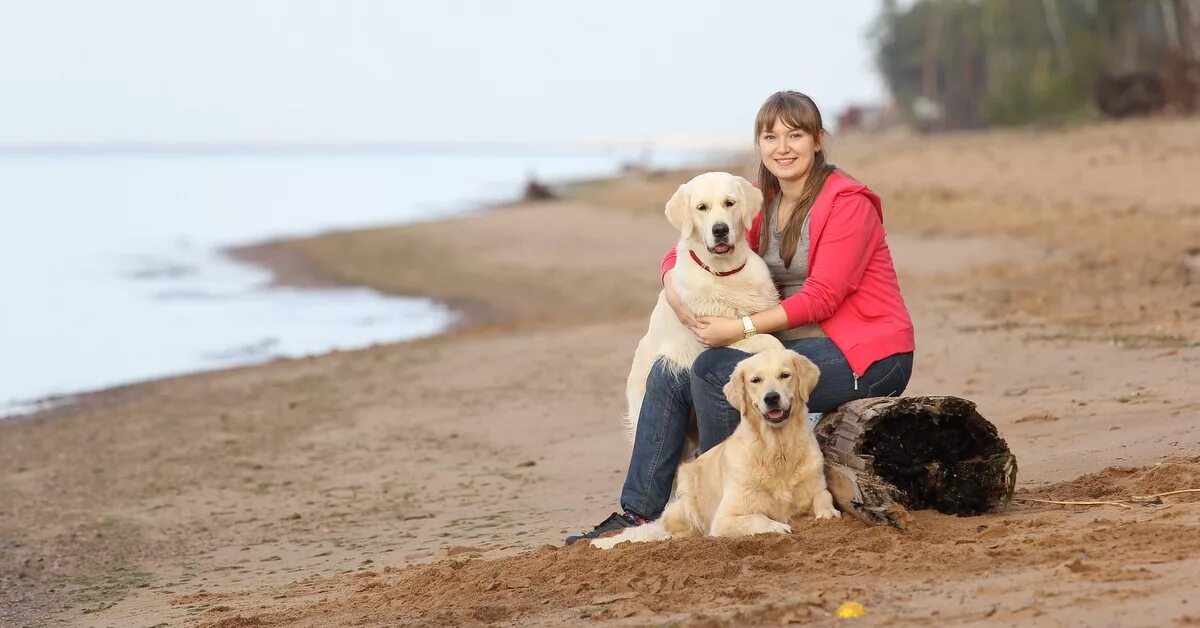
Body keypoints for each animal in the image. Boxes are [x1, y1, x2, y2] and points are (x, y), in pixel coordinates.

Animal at [595, 348, 840, 549]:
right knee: (668, 530)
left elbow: (824, 496)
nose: (772, 397)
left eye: (785, 375)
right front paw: (777, 526)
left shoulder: (816, 486)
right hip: (688, 505)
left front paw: (828, 514)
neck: (777, 450)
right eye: (755, 380)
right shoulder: (725, 519)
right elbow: (757, 518)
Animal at [624, 171, 782, 441]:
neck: (725, 272)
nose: (720, 230)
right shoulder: (712, 337)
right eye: (701, 208)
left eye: (730, 203)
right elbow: (767, 339)